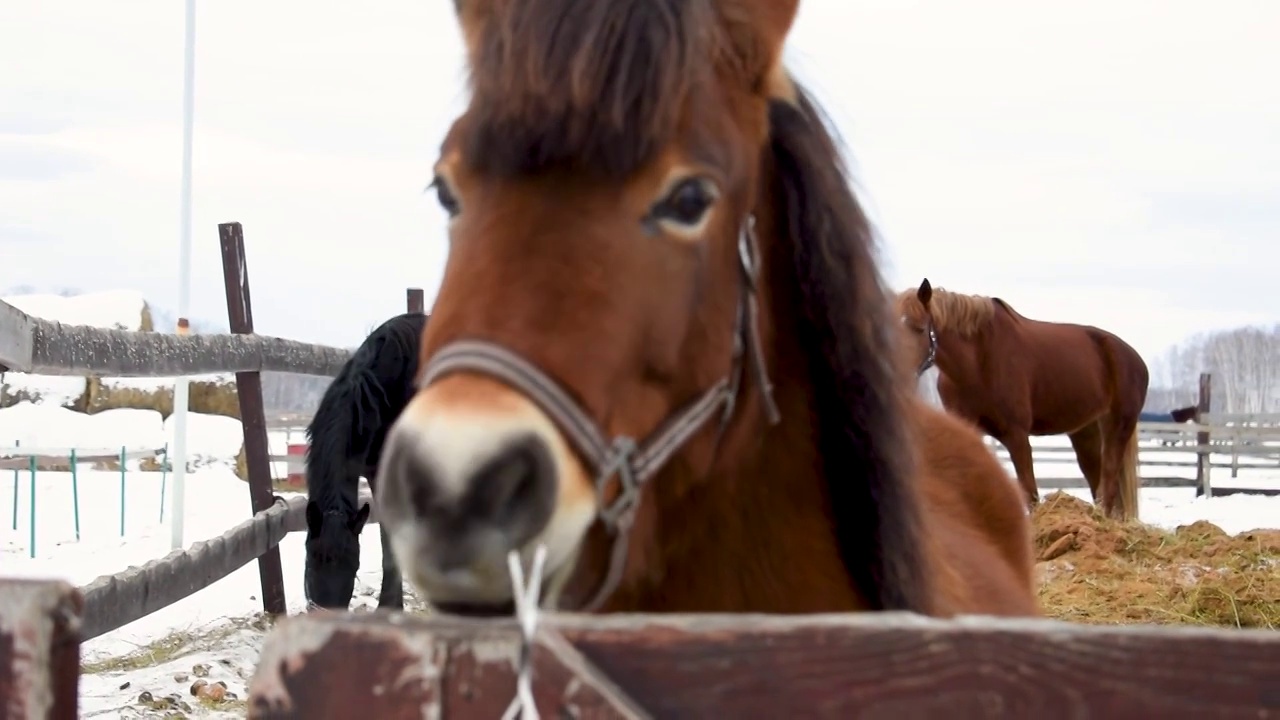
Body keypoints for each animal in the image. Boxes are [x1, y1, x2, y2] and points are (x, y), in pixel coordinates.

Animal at [901, 278, 1152, 517]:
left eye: (920, 328)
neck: (977, 363)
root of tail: (1134, 358)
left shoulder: (1017, 435)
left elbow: (1030, 494)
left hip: (1118, 426)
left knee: (1108, 483)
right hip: (1086, 434)